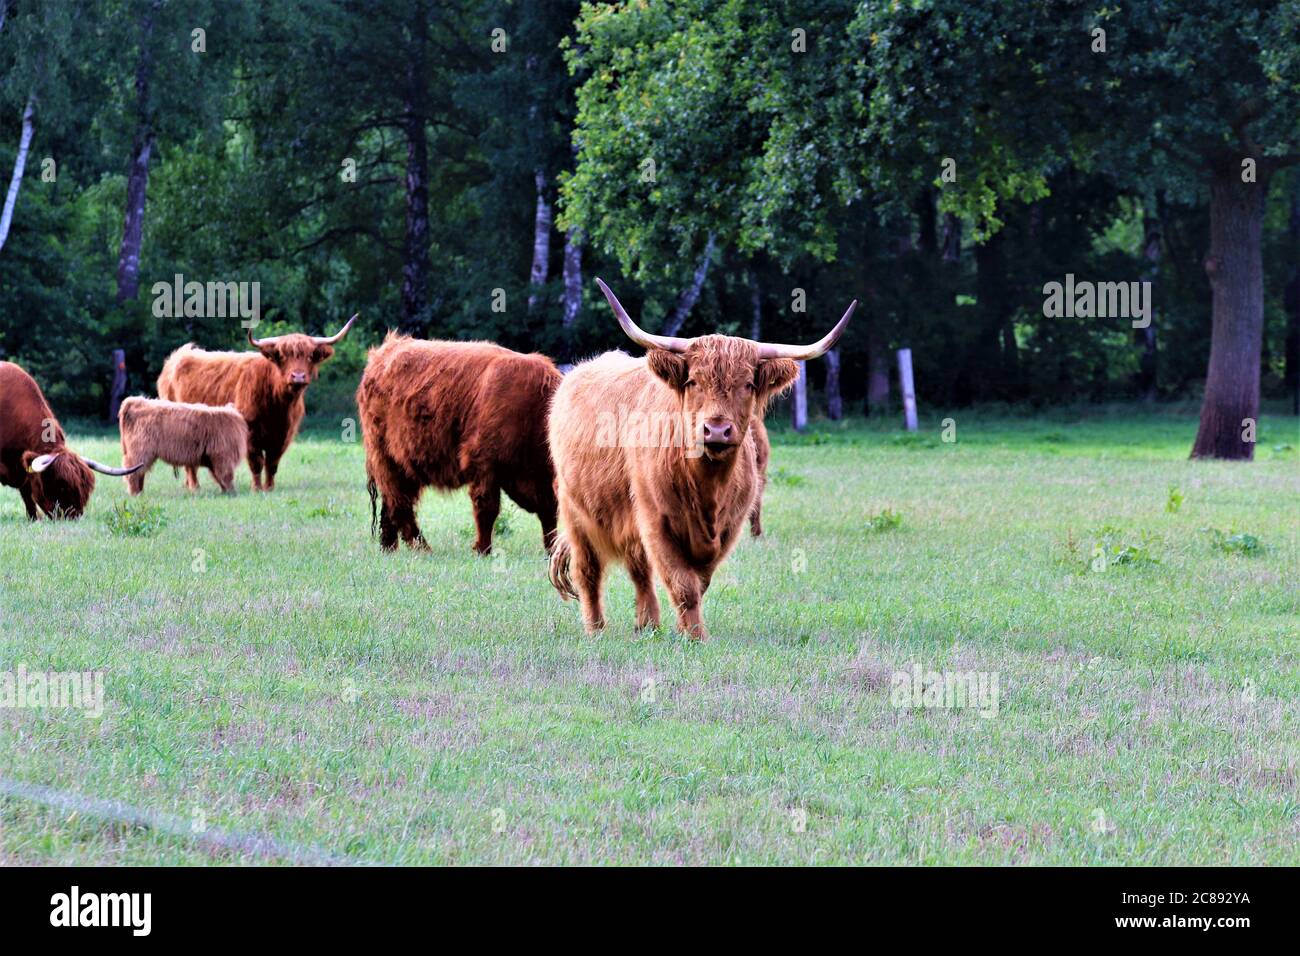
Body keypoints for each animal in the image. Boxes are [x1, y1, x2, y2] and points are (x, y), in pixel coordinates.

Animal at [118, 396, 250, 495]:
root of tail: (134, 401)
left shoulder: (213, 458)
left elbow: (219, 476)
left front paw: (226, 492)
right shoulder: (223, 456)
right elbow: (226, 476)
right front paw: (232, 493)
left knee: (140, 472)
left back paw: (140, 492)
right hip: (140, 452)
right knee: (133, 472)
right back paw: (135, 493)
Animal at [156, 315, 356, 491]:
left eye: (309, 356)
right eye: (283, 356)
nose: (298, 376)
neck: (278, 406)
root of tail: (179, 355)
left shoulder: (284, 434)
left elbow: (272, 462)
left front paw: (270, 488)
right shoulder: (250, 432)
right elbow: (257, 462)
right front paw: (257, 488)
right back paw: (194, 487)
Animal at [356, 334, 562, 555]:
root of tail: (385, 350)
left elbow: (550, 514)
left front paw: (552, 549)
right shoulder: (483, 462)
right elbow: (488, 507)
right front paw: (483, 549)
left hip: (406, 463)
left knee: (392, 505)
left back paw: (389, 547)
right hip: (385, 457)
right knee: (399, 503)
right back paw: (422, 548)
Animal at [548, 279, 854, 640]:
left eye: (747, 384)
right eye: (693, 381)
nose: (717, 429)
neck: (706, 486)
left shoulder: (728, 527)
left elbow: (699, 581)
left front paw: (683, 630)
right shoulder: (655, 521)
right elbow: (683, 584)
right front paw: (695, 636)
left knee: (639, 571)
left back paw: (647, 624)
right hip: (576, 511)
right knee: (589, 572)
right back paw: (596, 629)